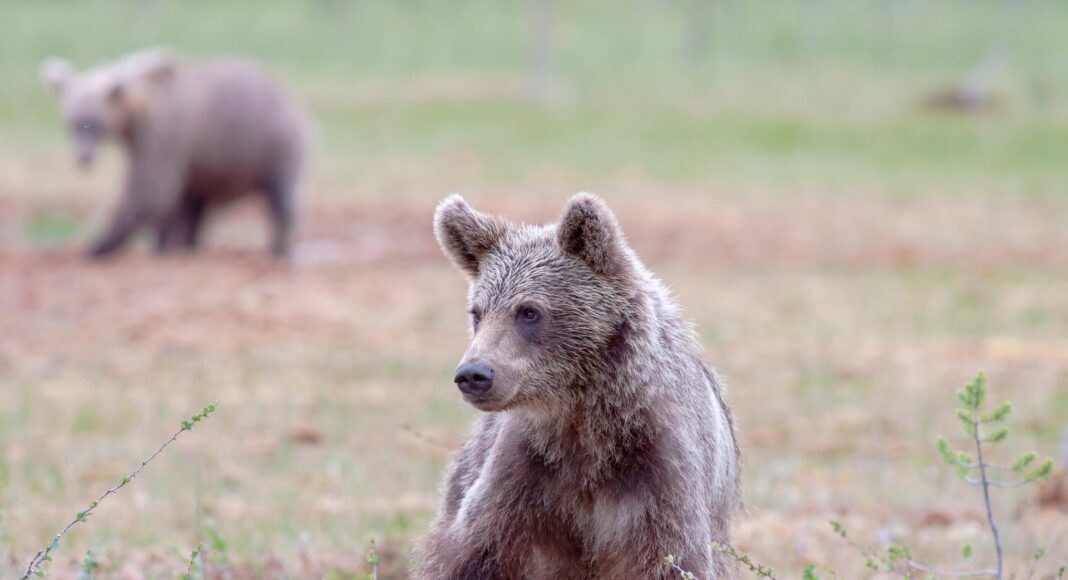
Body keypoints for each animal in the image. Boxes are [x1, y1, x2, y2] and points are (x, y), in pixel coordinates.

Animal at [39, 48, 307, 258]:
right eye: (73, 123)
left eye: (94, 123)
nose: (83, 158)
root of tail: (291, 99)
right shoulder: (167, 148)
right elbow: (169, 200)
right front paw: (161, 244)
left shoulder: (163, 135)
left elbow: (151, 191)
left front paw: (98, 246)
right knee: (198, 203)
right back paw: (190, 245)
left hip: (274, 145)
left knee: (281, 197)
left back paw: (279, 250)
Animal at [417, 193, 740, 579]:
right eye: (477, 312)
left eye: (529, 311)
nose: (473, 374)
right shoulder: (524, 476)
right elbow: (472, 555)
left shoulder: (659, 472)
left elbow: (670, 559)